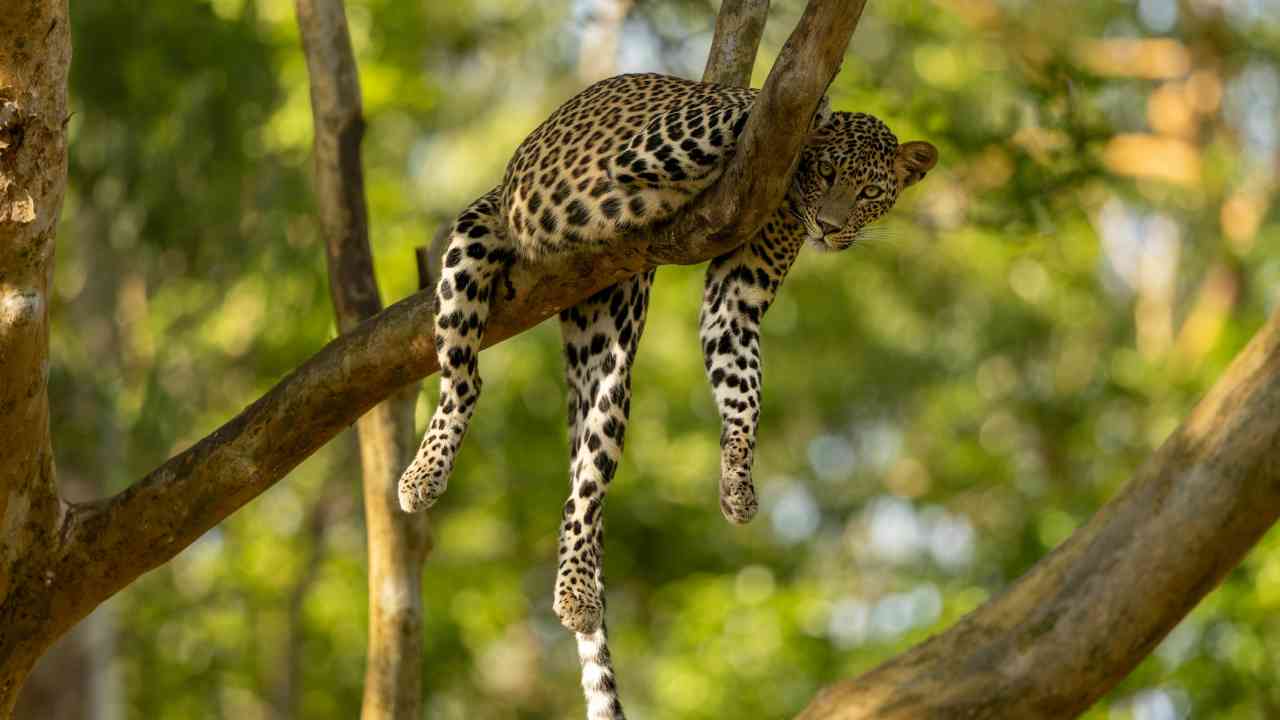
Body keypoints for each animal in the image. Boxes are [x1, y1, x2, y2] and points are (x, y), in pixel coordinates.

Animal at [396, 72, 937, 720]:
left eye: (869, 193)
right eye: (827, 173)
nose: (831, 229)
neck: (785, 191)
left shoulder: (736, 296)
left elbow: (743, 390)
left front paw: (737, 482)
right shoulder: (659, 144)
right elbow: (757, 103)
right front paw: (818, 102)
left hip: (609, 345)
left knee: (585, 482)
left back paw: (576, 590)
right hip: (477, 234)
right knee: (464, 377)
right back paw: (422, 476)